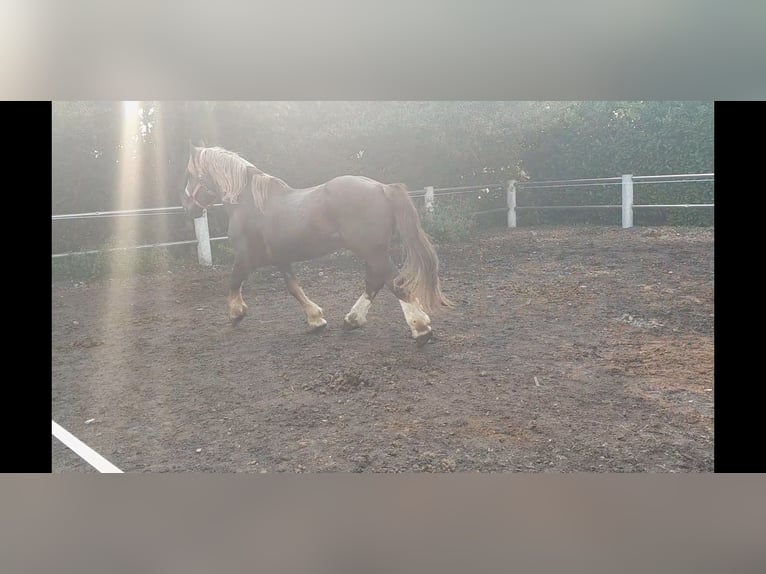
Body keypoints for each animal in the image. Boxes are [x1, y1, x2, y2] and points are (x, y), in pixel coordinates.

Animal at [182, 146, 452, 348]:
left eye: (190, 174)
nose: (188, 207)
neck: (249, 204)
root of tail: (382, 188)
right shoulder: (281, 259)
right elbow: (294, 288)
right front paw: (316, 320)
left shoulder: (245, 257)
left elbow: (233, 282)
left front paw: (236, 314)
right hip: (372, 251)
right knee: (375, 282)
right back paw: (352, 320)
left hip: (371, 250)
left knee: (393, 282)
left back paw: (421, 329)